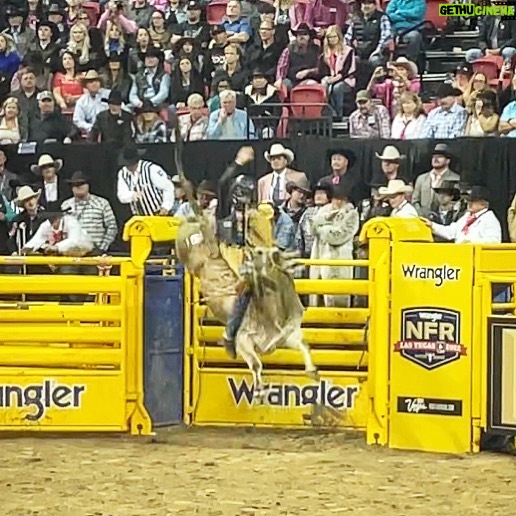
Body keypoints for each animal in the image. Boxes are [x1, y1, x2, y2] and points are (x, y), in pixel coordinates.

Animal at [175, 214, 318, 400]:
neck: (269, 316)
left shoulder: (283, 338)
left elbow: (303, 345)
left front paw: (312, 372)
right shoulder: (243, 339)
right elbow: (256, 364)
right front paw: (258, 392)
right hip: (189, 258)